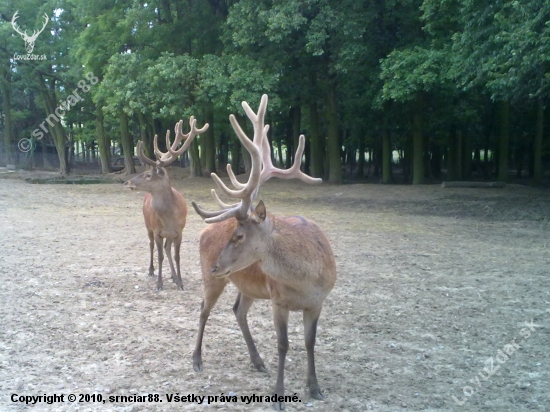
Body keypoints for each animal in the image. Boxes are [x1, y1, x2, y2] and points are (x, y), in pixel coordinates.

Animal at [124, 116, 209, 290]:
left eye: (148, 175)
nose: (127, 182)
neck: (169, 217)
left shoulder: (179, 231)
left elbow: (176, 256)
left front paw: (180, 282)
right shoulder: (158, 231)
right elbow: (160, 256)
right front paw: (159, 284)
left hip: (168, 234)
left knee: (167, 249)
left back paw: (174, 276)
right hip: (148, 225)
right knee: (151, 245)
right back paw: (151, 271)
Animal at [192, 95, 338, 410]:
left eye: (239, 235)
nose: (216, 265)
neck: (306, 281)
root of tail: (205, 232)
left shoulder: (318, 302)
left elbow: (310, 342)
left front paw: (315, 387)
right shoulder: (278, 299)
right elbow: (283, 344)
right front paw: (279, 396)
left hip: (246, 284)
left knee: (238, 310)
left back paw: (257, 361)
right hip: (214, 280)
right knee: (204, 308)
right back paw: (196, 360)